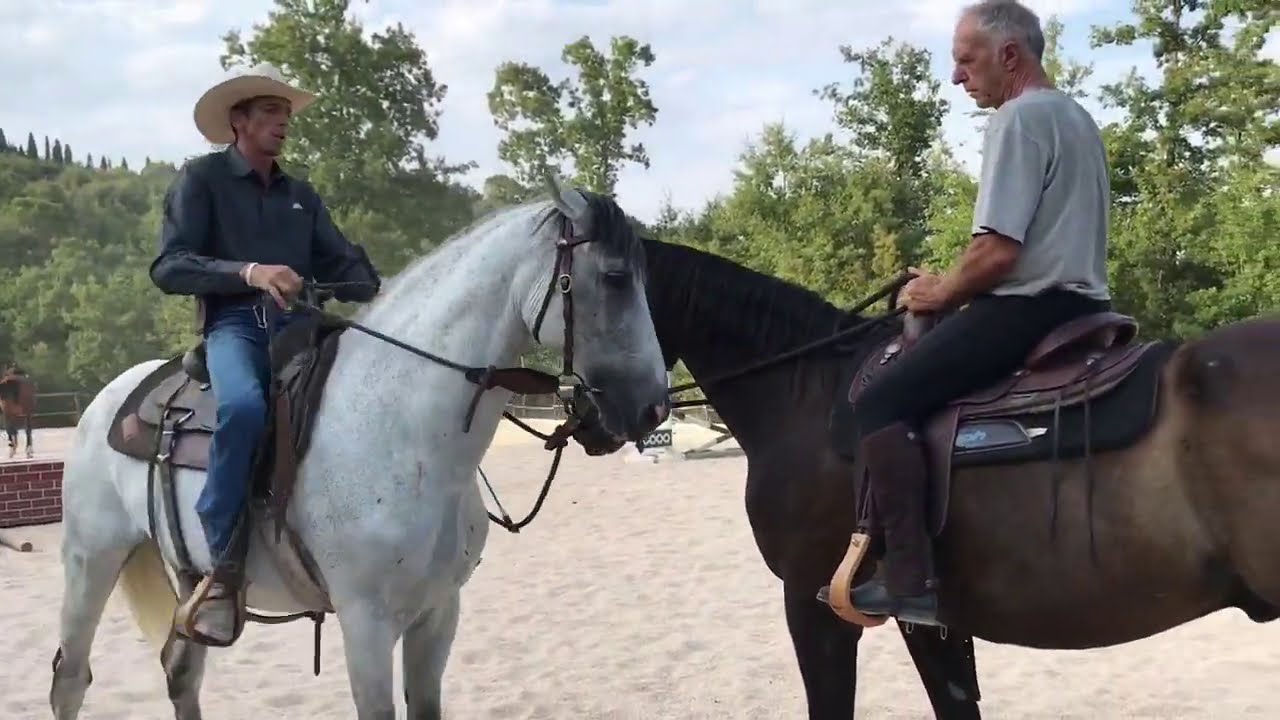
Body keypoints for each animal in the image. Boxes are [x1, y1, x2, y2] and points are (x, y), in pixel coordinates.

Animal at [49, 183, 672, 720]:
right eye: (615, 278)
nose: (653, 408)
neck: (403, 440)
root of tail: (114, 397)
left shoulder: (438, 613)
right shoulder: (366, 623)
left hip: (187, 582)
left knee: (181, 673)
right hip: (92, 559)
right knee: (71, 679)